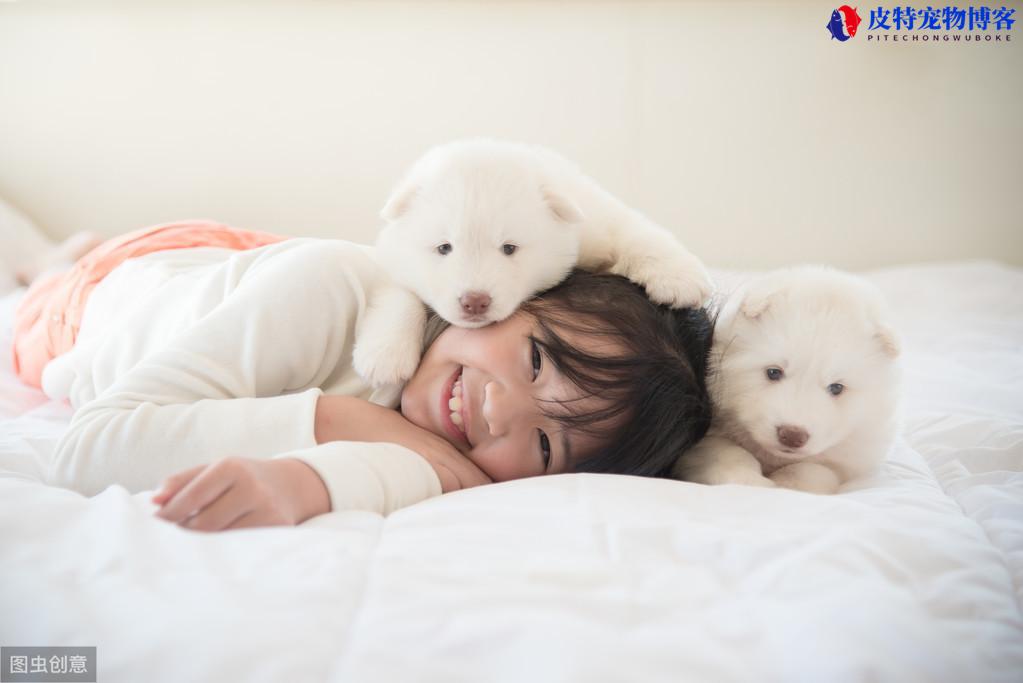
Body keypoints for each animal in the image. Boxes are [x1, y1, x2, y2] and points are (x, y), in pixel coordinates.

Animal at [353, 139, 712, 386]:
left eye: (509, 248)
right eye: (444, 248)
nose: (474, 302)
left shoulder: (594, 222)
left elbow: (634, 232)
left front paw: (678, 278)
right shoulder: (393, 259)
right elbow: (400, 294)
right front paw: (385, 355)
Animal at [675, 263, 900, 492]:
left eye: (836, 388)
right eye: (773, 372)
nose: (793, 435)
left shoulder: (849, 458)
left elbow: (812, 470)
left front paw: (785, 484)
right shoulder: (705, 440)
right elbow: (728, 454)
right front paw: (750, 481)